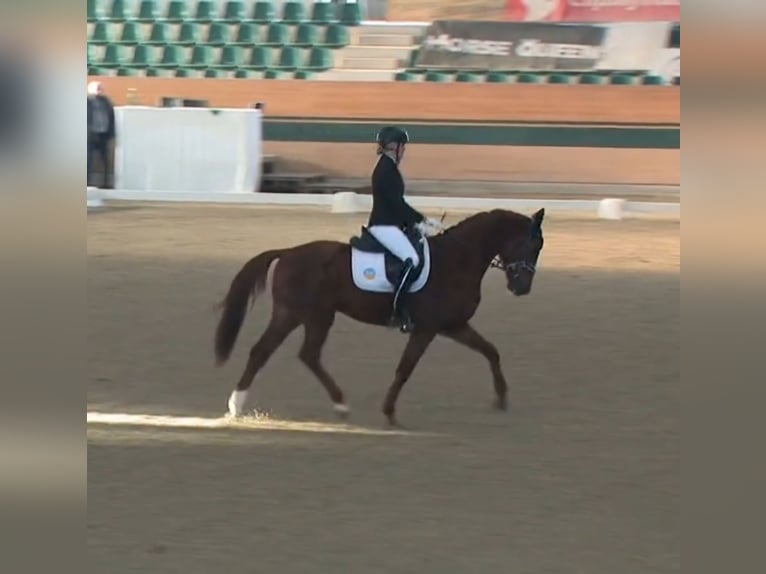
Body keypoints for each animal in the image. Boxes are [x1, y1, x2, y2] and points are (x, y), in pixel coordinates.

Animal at [213, 207, 545, 427]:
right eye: (531, 245)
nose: (522, 288)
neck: (457, 259)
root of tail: (288, 252)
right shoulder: (427, 328)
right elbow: (405, 368)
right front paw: (389, 412)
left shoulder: (452, 325)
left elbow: (491, 351)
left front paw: (501, 398)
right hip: (302, 313)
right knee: (278, 352)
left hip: (308, 315)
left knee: (292, 353)